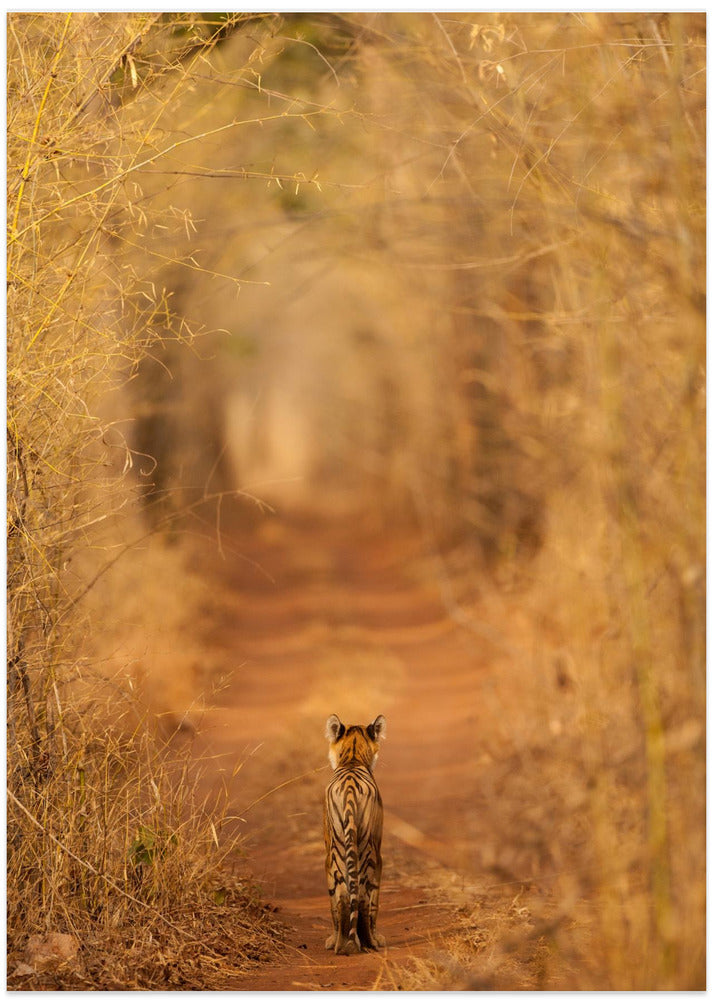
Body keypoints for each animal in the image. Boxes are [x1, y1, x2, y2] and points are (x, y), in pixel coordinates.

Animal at [323, 713, 387, 956]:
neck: (352, 758)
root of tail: (350, 787)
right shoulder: (379, 855)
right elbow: (374, 902)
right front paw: (376, 939)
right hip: (368, 851)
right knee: (362, 897)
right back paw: (368, 943)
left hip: (335, 852)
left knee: (340, 898)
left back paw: (342, 945)